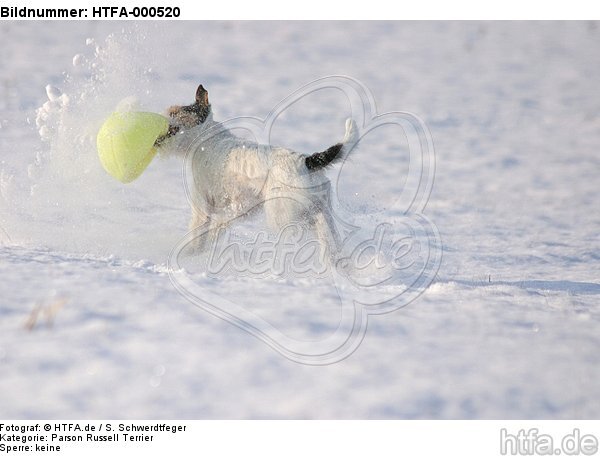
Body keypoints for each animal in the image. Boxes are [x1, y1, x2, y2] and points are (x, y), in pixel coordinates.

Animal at [157, 85, 358, 256]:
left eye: (174, 111)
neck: (206, 139)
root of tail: (307, 162)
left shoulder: (202, 207)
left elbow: (198, 237)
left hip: (283, 217)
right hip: (320, 213)